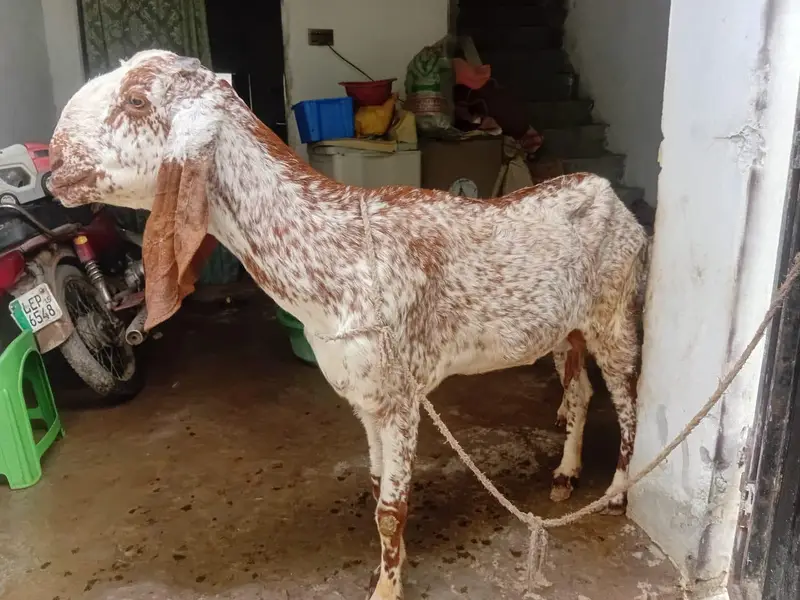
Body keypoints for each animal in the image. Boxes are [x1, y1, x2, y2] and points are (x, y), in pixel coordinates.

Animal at [50, 50, 649, 600]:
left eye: (135, 100)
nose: (54, 160)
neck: (340, 255)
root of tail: (610, 196)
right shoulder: (366, 397)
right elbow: (378, 485)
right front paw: (390, 565)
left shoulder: (402, 395)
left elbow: (391, 506)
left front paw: (386, 588)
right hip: (566, 330)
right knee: (579, 393)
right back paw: (566, 473)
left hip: (614, 316)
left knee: (628, 402)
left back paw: (618, 491)